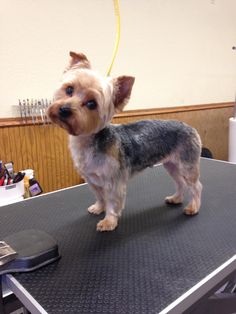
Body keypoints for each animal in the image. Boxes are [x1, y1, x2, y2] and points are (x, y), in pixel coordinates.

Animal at [48, 52, 203, 231]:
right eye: (69, 89)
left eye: (92, 103)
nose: (64, 109)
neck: (88, 141)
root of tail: (191, 127)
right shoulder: (92, 179)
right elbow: (100, 196)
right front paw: (98, 208)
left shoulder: (113, 180)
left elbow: (112, 202)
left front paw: (108, 221)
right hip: (171, 165)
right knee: (180, 182)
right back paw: (176, 198)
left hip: (187, 163)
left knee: (195, 186)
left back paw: (193, 207)